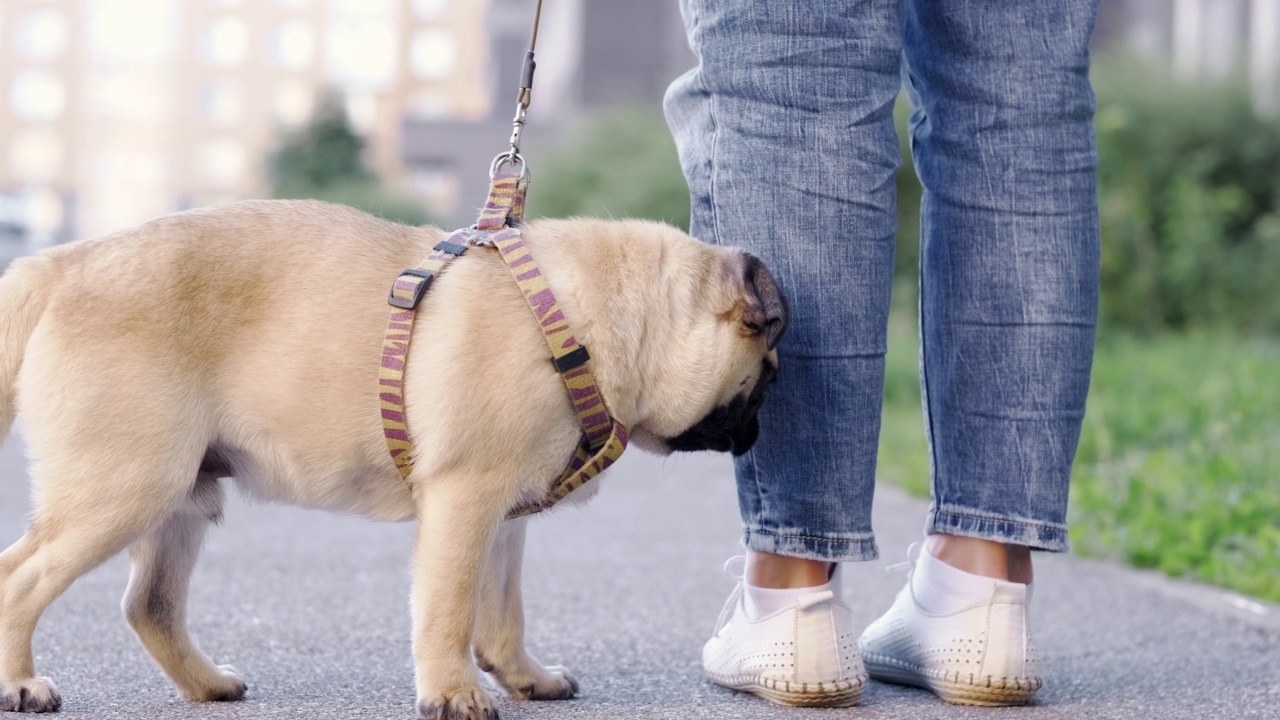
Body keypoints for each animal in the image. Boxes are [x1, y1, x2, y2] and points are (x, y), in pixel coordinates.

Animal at [0, 199, 783, 717]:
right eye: (768, 371)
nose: (761, 428)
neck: (580, 322)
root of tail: (58, 264)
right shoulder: (464, 503)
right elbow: (449, 610)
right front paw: (453, 692)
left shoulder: (503, 517)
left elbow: (502, 613)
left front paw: (524, 678)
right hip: (123, 488)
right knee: (20, 578)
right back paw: (21, 685)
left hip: (180, 496)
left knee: (151, 605)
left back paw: (209, 686)